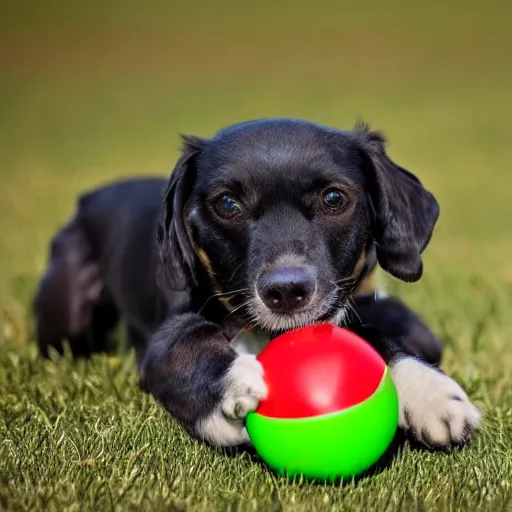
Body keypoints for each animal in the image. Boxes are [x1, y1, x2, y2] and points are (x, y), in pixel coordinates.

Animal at [34, 118, 482, 450]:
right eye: (227, 203)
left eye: (333, 198)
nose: (286, 291)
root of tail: (91, 195)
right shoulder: (162, 340)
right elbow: (187, 344)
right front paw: (228, 386)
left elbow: (377, 334)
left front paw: (432, 394)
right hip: (66, 312)